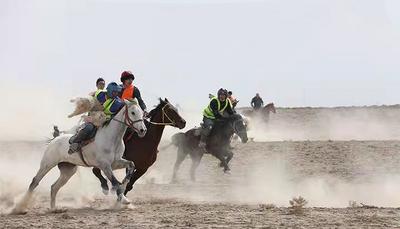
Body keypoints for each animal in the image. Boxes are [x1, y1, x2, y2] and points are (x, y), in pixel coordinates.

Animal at [12, 99, 147, 214]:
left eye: (142, 113)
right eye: (133, 112)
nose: (143, 130)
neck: (112, 138)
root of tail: (55, 139)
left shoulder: (116, 162)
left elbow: (131, 165)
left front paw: (124, 188)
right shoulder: (105, 165)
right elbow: (114, 182)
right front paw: (124, 199)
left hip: (68, 171)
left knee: (54, 187)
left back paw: (54, 209)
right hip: (47, 164)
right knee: (35, 182)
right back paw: (20, 207)